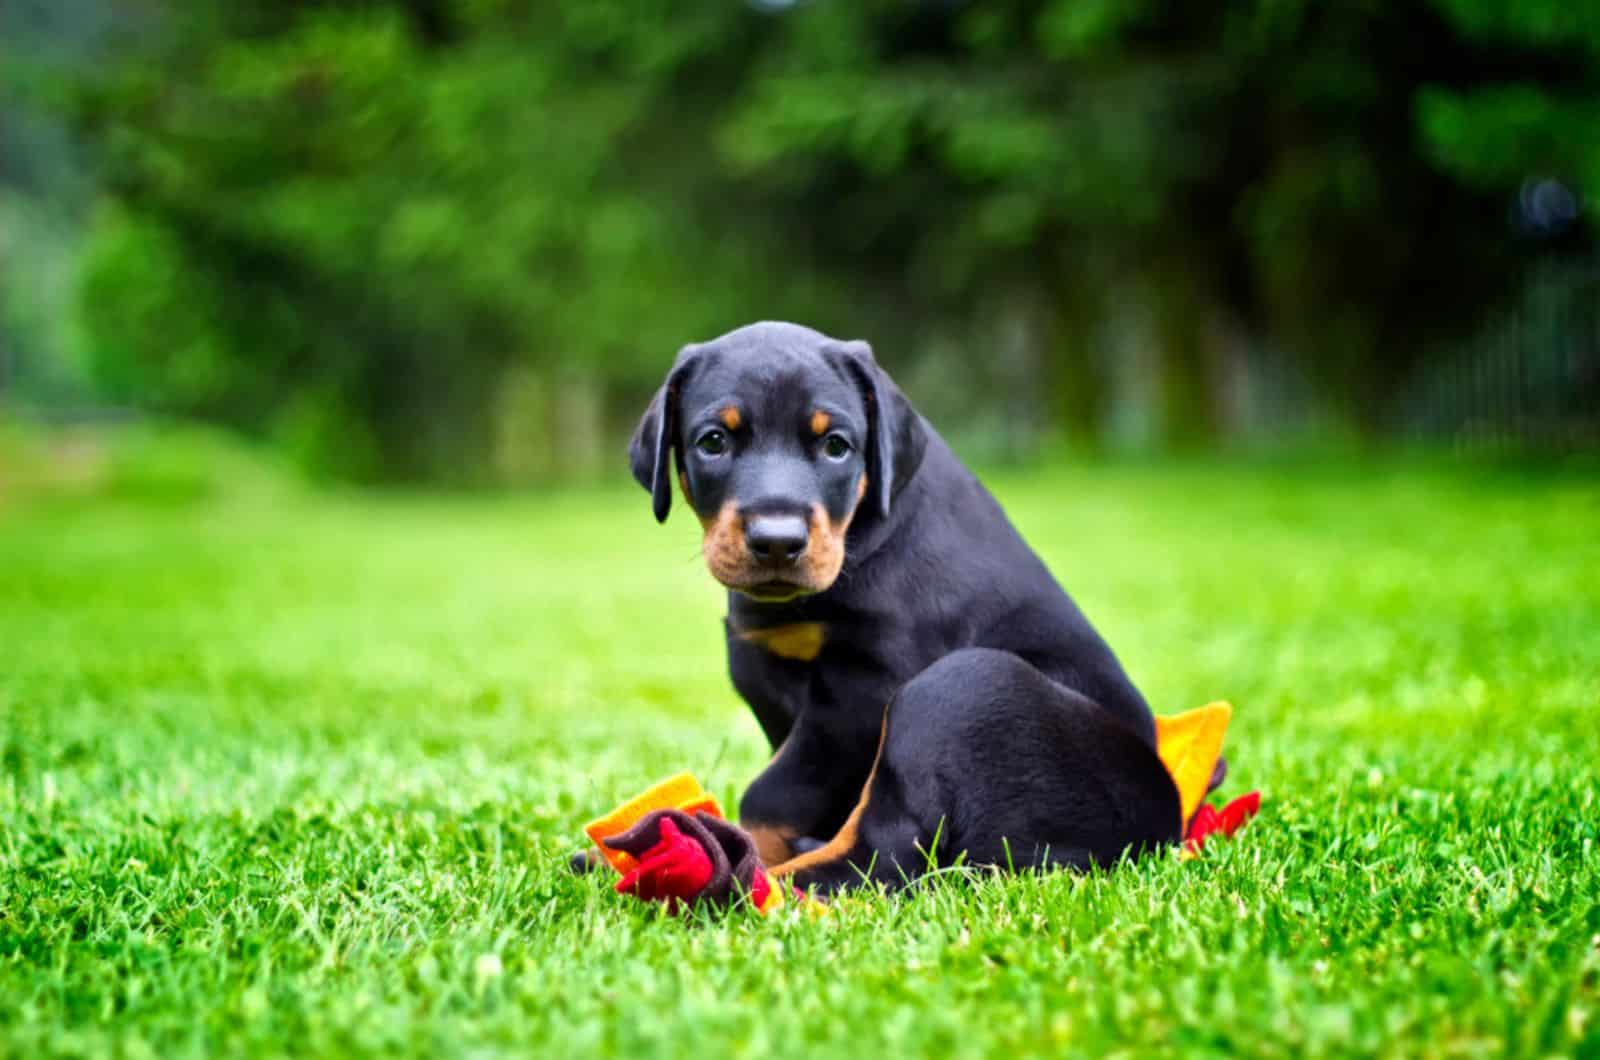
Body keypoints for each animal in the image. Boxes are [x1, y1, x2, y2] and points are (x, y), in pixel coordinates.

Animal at [617, 323, 1196, 896]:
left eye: (836, 446)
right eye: (713, 442)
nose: (777, 542)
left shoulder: (863, 689)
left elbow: (775, 789)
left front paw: (744, 848)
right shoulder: (762, 667)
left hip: (963, 685)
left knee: (881, 857)